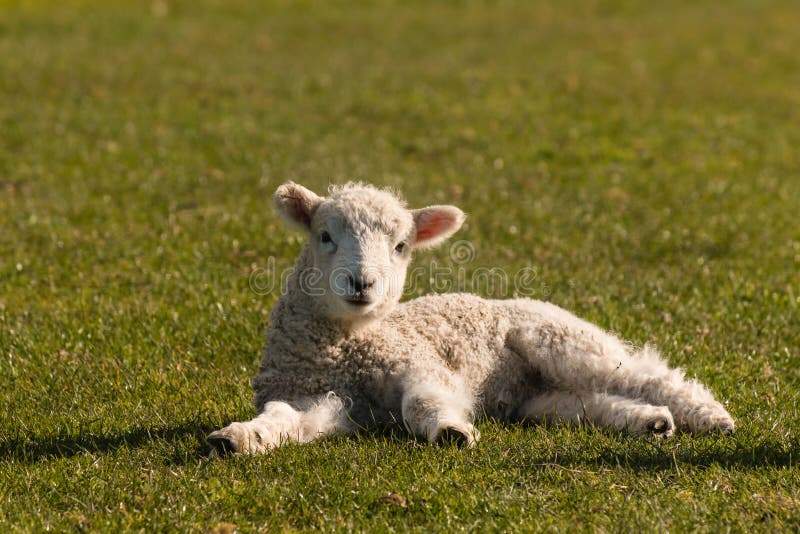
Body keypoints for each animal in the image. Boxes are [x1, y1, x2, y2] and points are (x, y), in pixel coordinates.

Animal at [208, 182, 736, 454]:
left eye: (401, 246)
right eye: (324, 236)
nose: (362, 284)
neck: (347, 347)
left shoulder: (419, 365)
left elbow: (421, 404)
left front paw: (450, 431)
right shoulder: (317, 397)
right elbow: (283, 420)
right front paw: (238, 438)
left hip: (561, 340)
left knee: (646, 375)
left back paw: (710, 416)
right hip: (538, 399)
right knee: (588, 403)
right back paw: (652, 423)